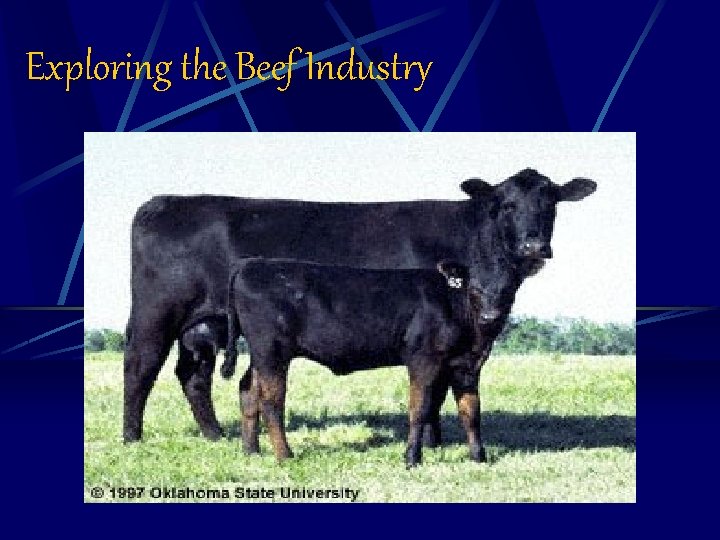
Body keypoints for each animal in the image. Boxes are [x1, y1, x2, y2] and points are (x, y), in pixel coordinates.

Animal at [123, 168, 596, 443]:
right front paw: (431, 445)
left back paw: (216, 435)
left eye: (550, 204)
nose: (535, 245)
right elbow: (431, 394)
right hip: (156, 313)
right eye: (506, 204)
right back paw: (132, 436)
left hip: (203, 324)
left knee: (192, 374)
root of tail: (163, 201)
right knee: (140, 367)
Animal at [224, 248, 526, 467]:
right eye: (474, 287)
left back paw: (251, 451)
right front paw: (412, 458)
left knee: (248, 390)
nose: (490, 316)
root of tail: (252, 263)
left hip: (260, 355)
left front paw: (479, 457)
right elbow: (420, 409)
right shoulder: (424, 360)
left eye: (509, 287)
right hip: (271, 351)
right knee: (271, 400)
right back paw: (285, 455)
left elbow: (470, 411)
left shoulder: (466, 365)